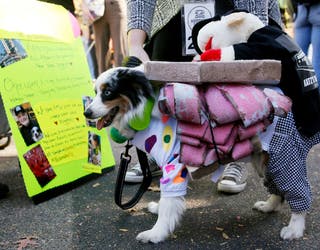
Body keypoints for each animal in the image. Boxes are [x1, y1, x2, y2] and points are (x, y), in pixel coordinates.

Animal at [83, 66, 316, 242]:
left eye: (107, 92)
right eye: (95, 91)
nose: (86, 112)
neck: (144, 111)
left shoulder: (173, 164)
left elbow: (169, 202)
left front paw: (156, 234)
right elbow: (167, 200)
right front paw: (158, 210)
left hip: (283, 156)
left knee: (298, 191)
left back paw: (294, 229)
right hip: (265, 161)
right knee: (278, 190)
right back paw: (268, 206)